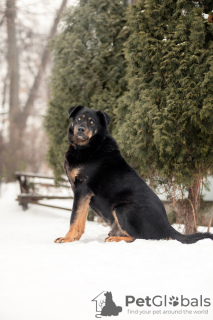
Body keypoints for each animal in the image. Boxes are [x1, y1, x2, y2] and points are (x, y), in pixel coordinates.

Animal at [55, 106, 213, 244]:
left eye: (91, 122)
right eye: (78, 119)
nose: (81, 129)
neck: (89, 146)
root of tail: (167, 226)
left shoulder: (82, 189)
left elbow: (74, 218)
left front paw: (67, 239)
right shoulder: (84, 194)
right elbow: (80, 220)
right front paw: (74, 239)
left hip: (122, 209)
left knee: (137, 237)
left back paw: (114, 239)